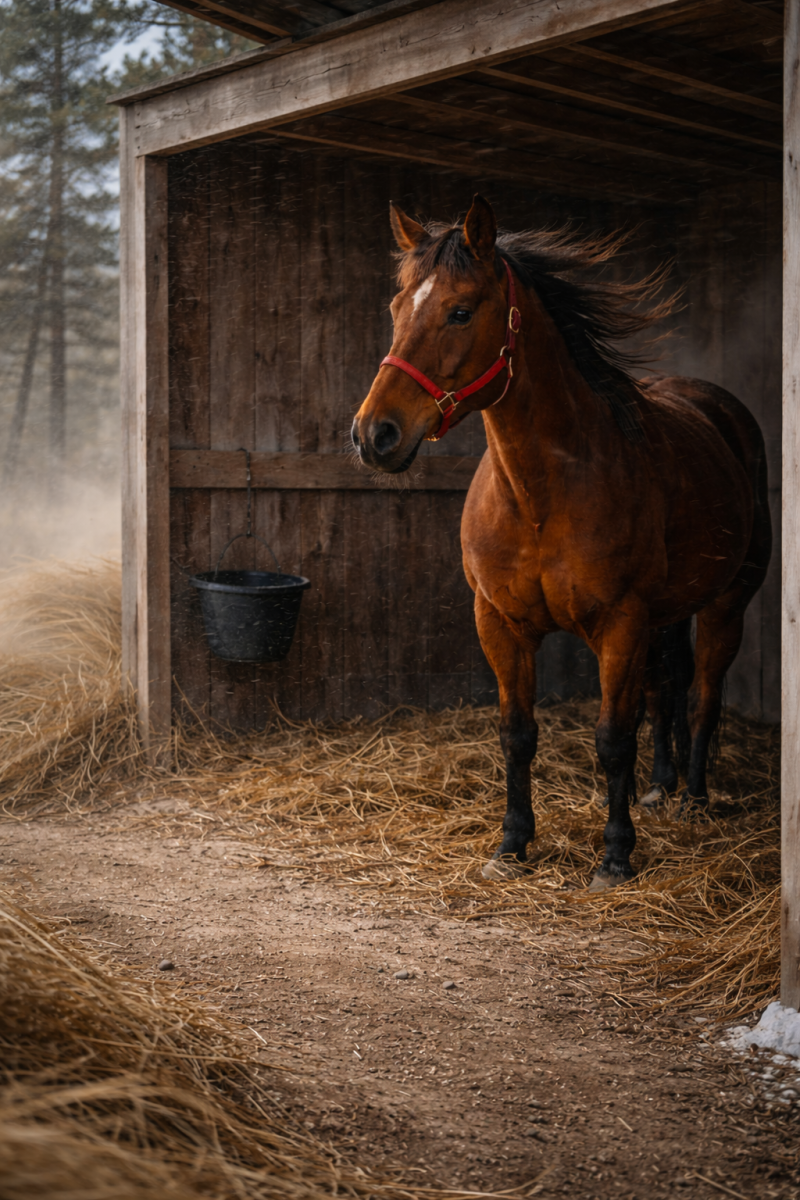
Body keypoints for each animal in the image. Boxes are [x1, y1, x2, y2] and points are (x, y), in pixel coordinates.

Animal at [351, 195, 772, 891]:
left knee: (704, 697)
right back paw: (659, 790)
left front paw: (615, 856)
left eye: (461, 310)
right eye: (396, 307)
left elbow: (612, 738)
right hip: (669, 615)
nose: (373, 435)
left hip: (725, 606)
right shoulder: (499, 623)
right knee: (669, 688)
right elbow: (517, 733)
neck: (540, 498)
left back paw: (692, 799)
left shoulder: (621, 625)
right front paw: (512, 845)